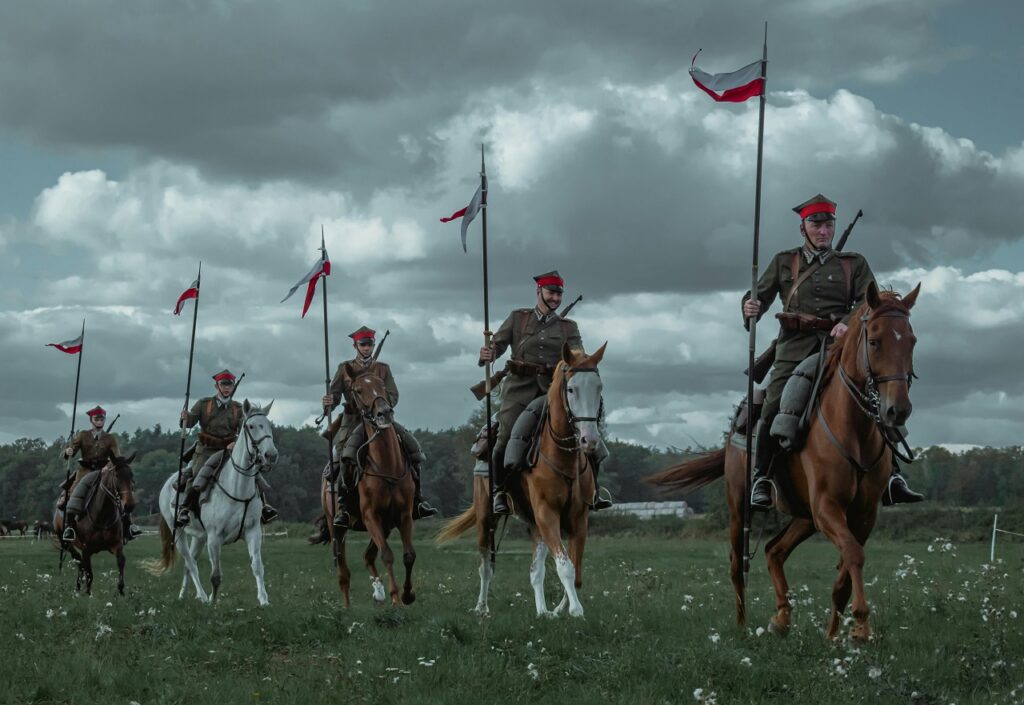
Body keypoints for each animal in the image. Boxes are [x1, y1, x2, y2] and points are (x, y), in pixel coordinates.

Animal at [52, 450, 137, 594]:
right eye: (117, 475)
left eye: (131, 475)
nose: (129, 505)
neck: (102, 516)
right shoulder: (87, 549)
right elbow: (89, 572)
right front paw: (88, 593)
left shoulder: (116, 544)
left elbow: (121, 561)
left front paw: (121, 590)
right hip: (66, 542)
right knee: (78, 560)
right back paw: (78, 588)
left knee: (80, 563)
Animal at [149, 401, 278, 606]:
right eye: (251, 426)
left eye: (268, 425)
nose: (271, 455)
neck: (237, 488)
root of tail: (167, 483)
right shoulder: (214, 537)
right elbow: (216, 575)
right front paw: (212, 602)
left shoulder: (253, 532)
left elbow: (257, 566)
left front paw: (264, 600)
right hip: (178, 532)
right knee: (191, 563)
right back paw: (202, 596)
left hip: (199, 537)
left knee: (189, 565)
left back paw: (183, 595)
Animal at [319, 368, 415, 606]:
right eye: (359, 390)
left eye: (382, 386)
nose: (384, 413)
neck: (387, 465)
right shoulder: (371, 515)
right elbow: (387, 555)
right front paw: (396, 598)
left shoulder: (403, 515)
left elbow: (409, 555)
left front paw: (407, 595)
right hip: (337, 527)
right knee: (343, 570)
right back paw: (346, 607)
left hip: (385, 525)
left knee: (367, 556)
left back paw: (378, 592)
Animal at [440, 342, 606, 614]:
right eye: (571, 389)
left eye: (599, 387)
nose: (589, 440)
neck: (563, 456)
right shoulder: (547, 513)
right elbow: (565, 566)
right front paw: (575, 610)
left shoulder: (578, 518)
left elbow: (575, 571)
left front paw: (560, 609)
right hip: (486, 517)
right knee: (486, 565)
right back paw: (481, 607)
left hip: (534, 523)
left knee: (535, 571)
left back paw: (542, 611)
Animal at [651, 282, 925, 643]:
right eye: (875, 341)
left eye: (911, 340)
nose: (897, 411)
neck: (854, 429)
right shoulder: (827, 506)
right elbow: (853, 554)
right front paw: (862, 625)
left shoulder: (862, 513)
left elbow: (845, 569)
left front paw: (835, 633)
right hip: (741, 508)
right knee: (737, 564)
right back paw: (742, 624)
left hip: (804, 516)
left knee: (773, 550)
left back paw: (781, 618)